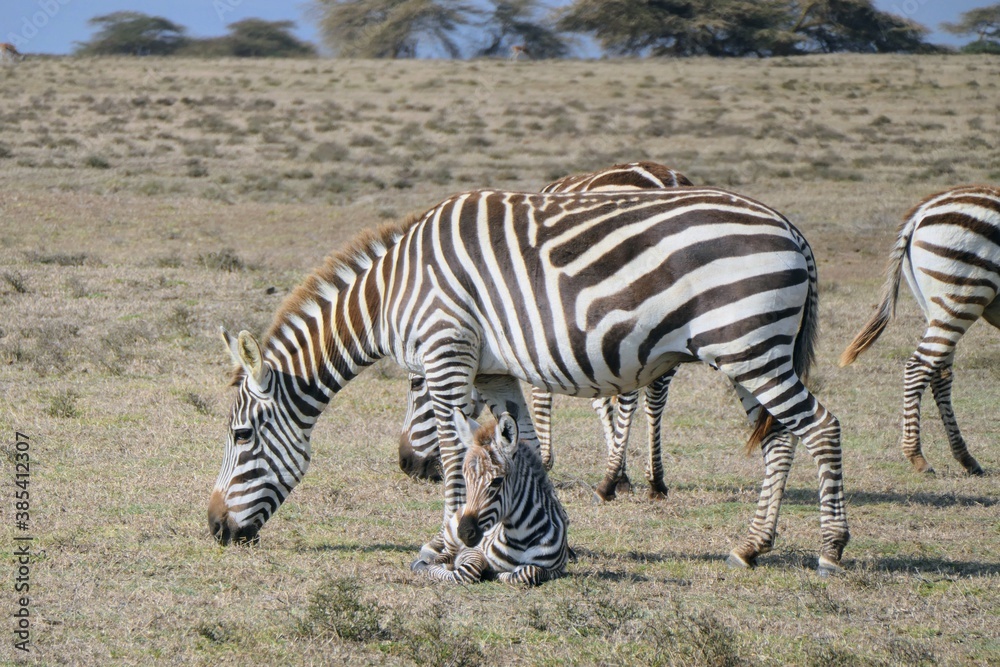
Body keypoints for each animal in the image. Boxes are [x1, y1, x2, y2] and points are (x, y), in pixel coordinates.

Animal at [399, 161, 692, 500]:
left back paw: (610, 481)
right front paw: (623, 473)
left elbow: (545, 393)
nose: (406, 464)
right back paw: (655, 479)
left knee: (633, 396)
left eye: (417, 383)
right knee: (656, 397)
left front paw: (546, 459)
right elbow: (601, 400)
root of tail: (666, 178)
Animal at [413, 409, 569, 585]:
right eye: (466, 480)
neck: (521, 538)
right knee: (444, 554)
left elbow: (528, 572)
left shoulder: (557, 570)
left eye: (496, 481)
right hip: (452, 534)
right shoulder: (473, 551)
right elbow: (468, 571)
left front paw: (500, 574)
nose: (464, 532)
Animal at [841, 185, 1000, 476]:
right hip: (963, 294)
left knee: (940, 372)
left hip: (937, 306)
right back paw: (917, 456)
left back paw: (965, 457)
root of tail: (923, 210)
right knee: (920, 366)